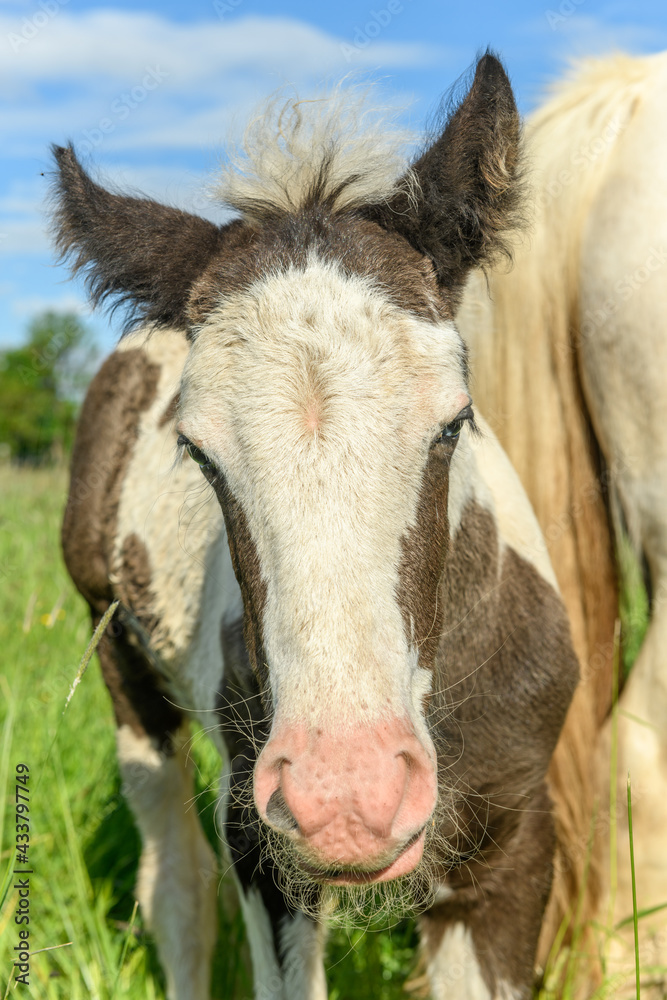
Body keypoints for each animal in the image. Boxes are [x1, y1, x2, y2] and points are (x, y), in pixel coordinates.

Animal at [53, 54, 581, 1000]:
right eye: (197, 453)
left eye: (454, 422)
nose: (348, 798)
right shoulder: (262, 846)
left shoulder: (517, 839)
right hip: (117, 659)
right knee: (175, 887)